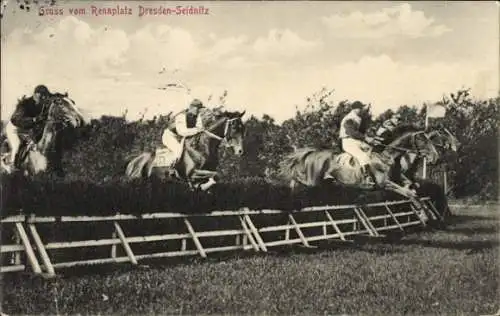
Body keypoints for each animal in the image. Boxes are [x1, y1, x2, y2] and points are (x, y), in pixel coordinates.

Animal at [278, 126, 438, 198]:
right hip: (312, 182)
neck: (386, 157)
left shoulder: (397, 178)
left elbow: (412, 186)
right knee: (297, 180)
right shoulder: (385, 184)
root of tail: (313, 152)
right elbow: (409, 193)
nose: (436, 157)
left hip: (325, 183)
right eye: (423, 140)